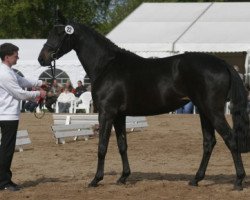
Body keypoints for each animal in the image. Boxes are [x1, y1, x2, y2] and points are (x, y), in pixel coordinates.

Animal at [38, 20, 250, 191]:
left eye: (60, 34)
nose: (42, 58)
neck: (106, 65)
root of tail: (222, 62)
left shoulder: (106, 113)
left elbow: (102, 146)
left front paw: (96, 180)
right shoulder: (119, 115)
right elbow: (122, 145)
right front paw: (123, 177)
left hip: (213, 111)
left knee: (230, 139)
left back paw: (238, 181)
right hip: (205, 111)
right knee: (209, 142)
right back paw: (196, 179)